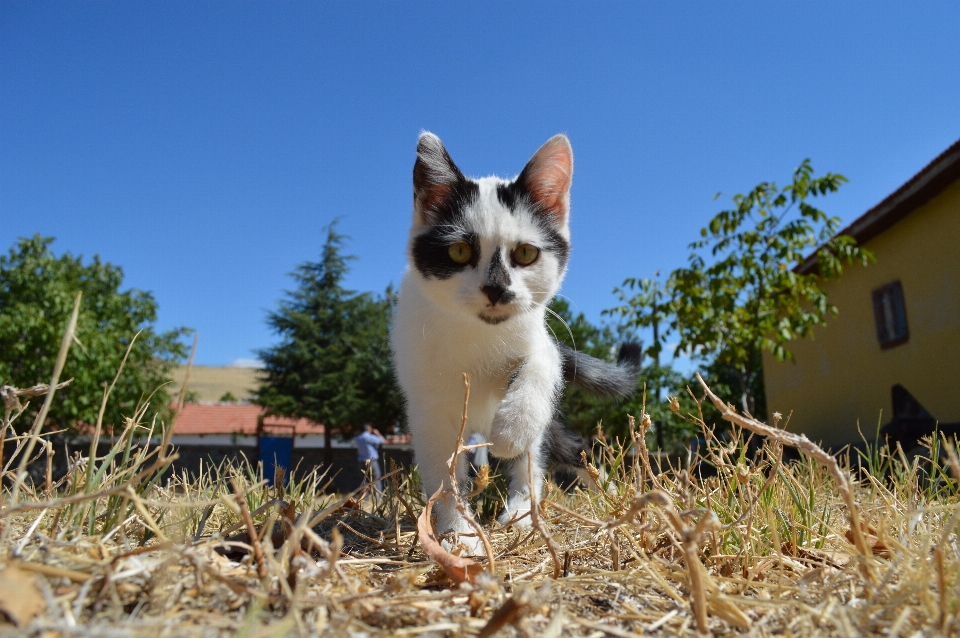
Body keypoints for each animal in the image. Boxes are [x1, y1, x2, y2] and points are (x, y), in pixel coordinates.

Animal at [390, 132, 636, 552]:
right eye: (459, 251)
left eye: (525, 253)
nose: (496, 289)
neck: (479, 335)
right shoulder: (429, 407)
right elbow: (444, 469)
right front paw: (457, 533)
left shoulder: (542, 341)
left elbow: (538, 366)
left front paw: (512, 430)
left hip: (550, 423)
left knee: (561, 450)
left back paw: (542, 506)